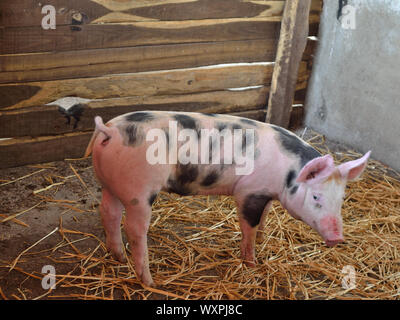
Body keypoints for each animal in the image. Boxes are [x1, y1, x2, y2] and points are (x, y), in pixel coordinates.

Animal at [83, 110, 368, 284]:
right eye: (317, 197)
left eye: (341, 198)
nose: (338, 237)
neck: (286, 174)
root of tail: (109, 131)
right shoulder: (249, 191)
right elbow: (249, 225)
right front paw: (251, 262)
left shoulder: (265, 192)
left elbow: (264, 217)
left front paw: (263, 239)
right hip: (139, 191)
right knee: (134, 229)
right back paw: (149, 281)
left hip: (111, 184)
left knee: (108, 212)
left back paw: (118, 257)